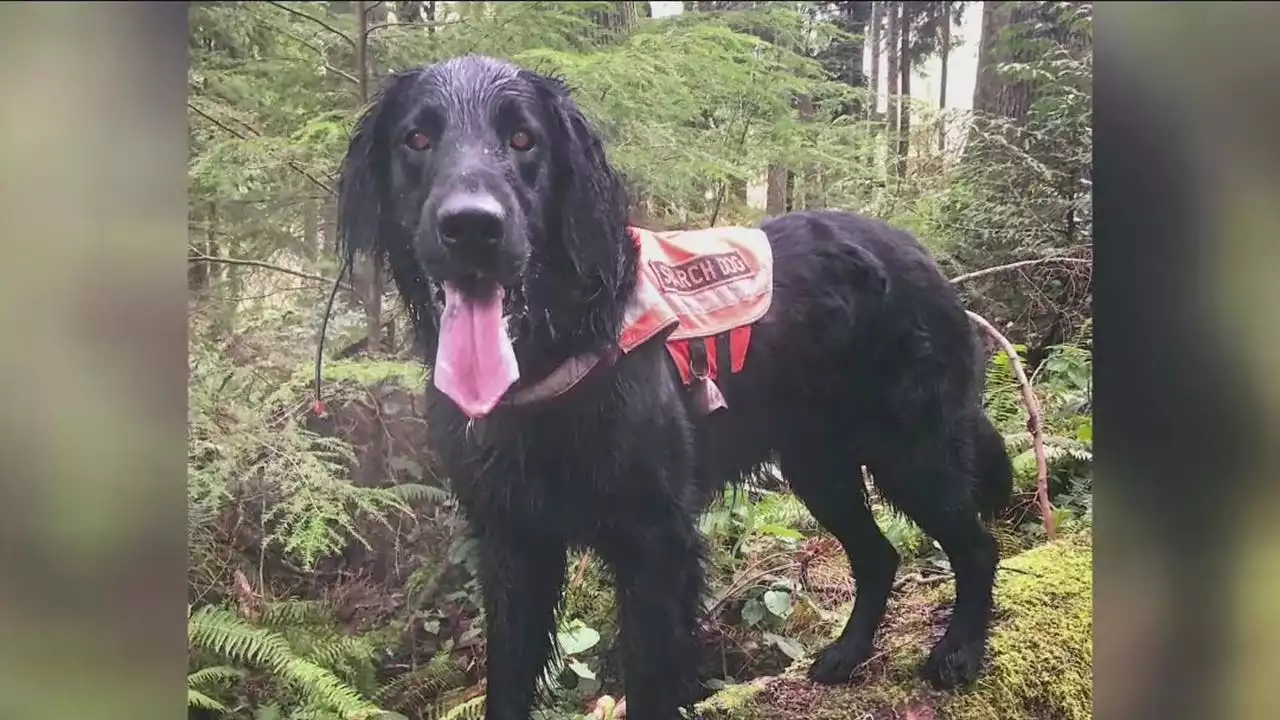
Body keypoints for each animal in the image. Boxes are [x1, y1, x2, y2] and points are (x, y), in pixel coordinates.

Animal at [335, 56, 1013, 717]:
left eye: (523, 139)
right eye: (416, 139)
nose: (472, 228)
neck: (553, 352)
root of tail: (922, 255)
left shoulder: (656, 544)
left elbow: (650, 683)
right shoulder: (511, 544)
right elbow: (508, 682)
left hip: (913, 451)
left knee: (977, 546)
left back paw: (959, 653)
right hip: (818, 465)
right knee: (880, 555)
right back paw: (847, 653)